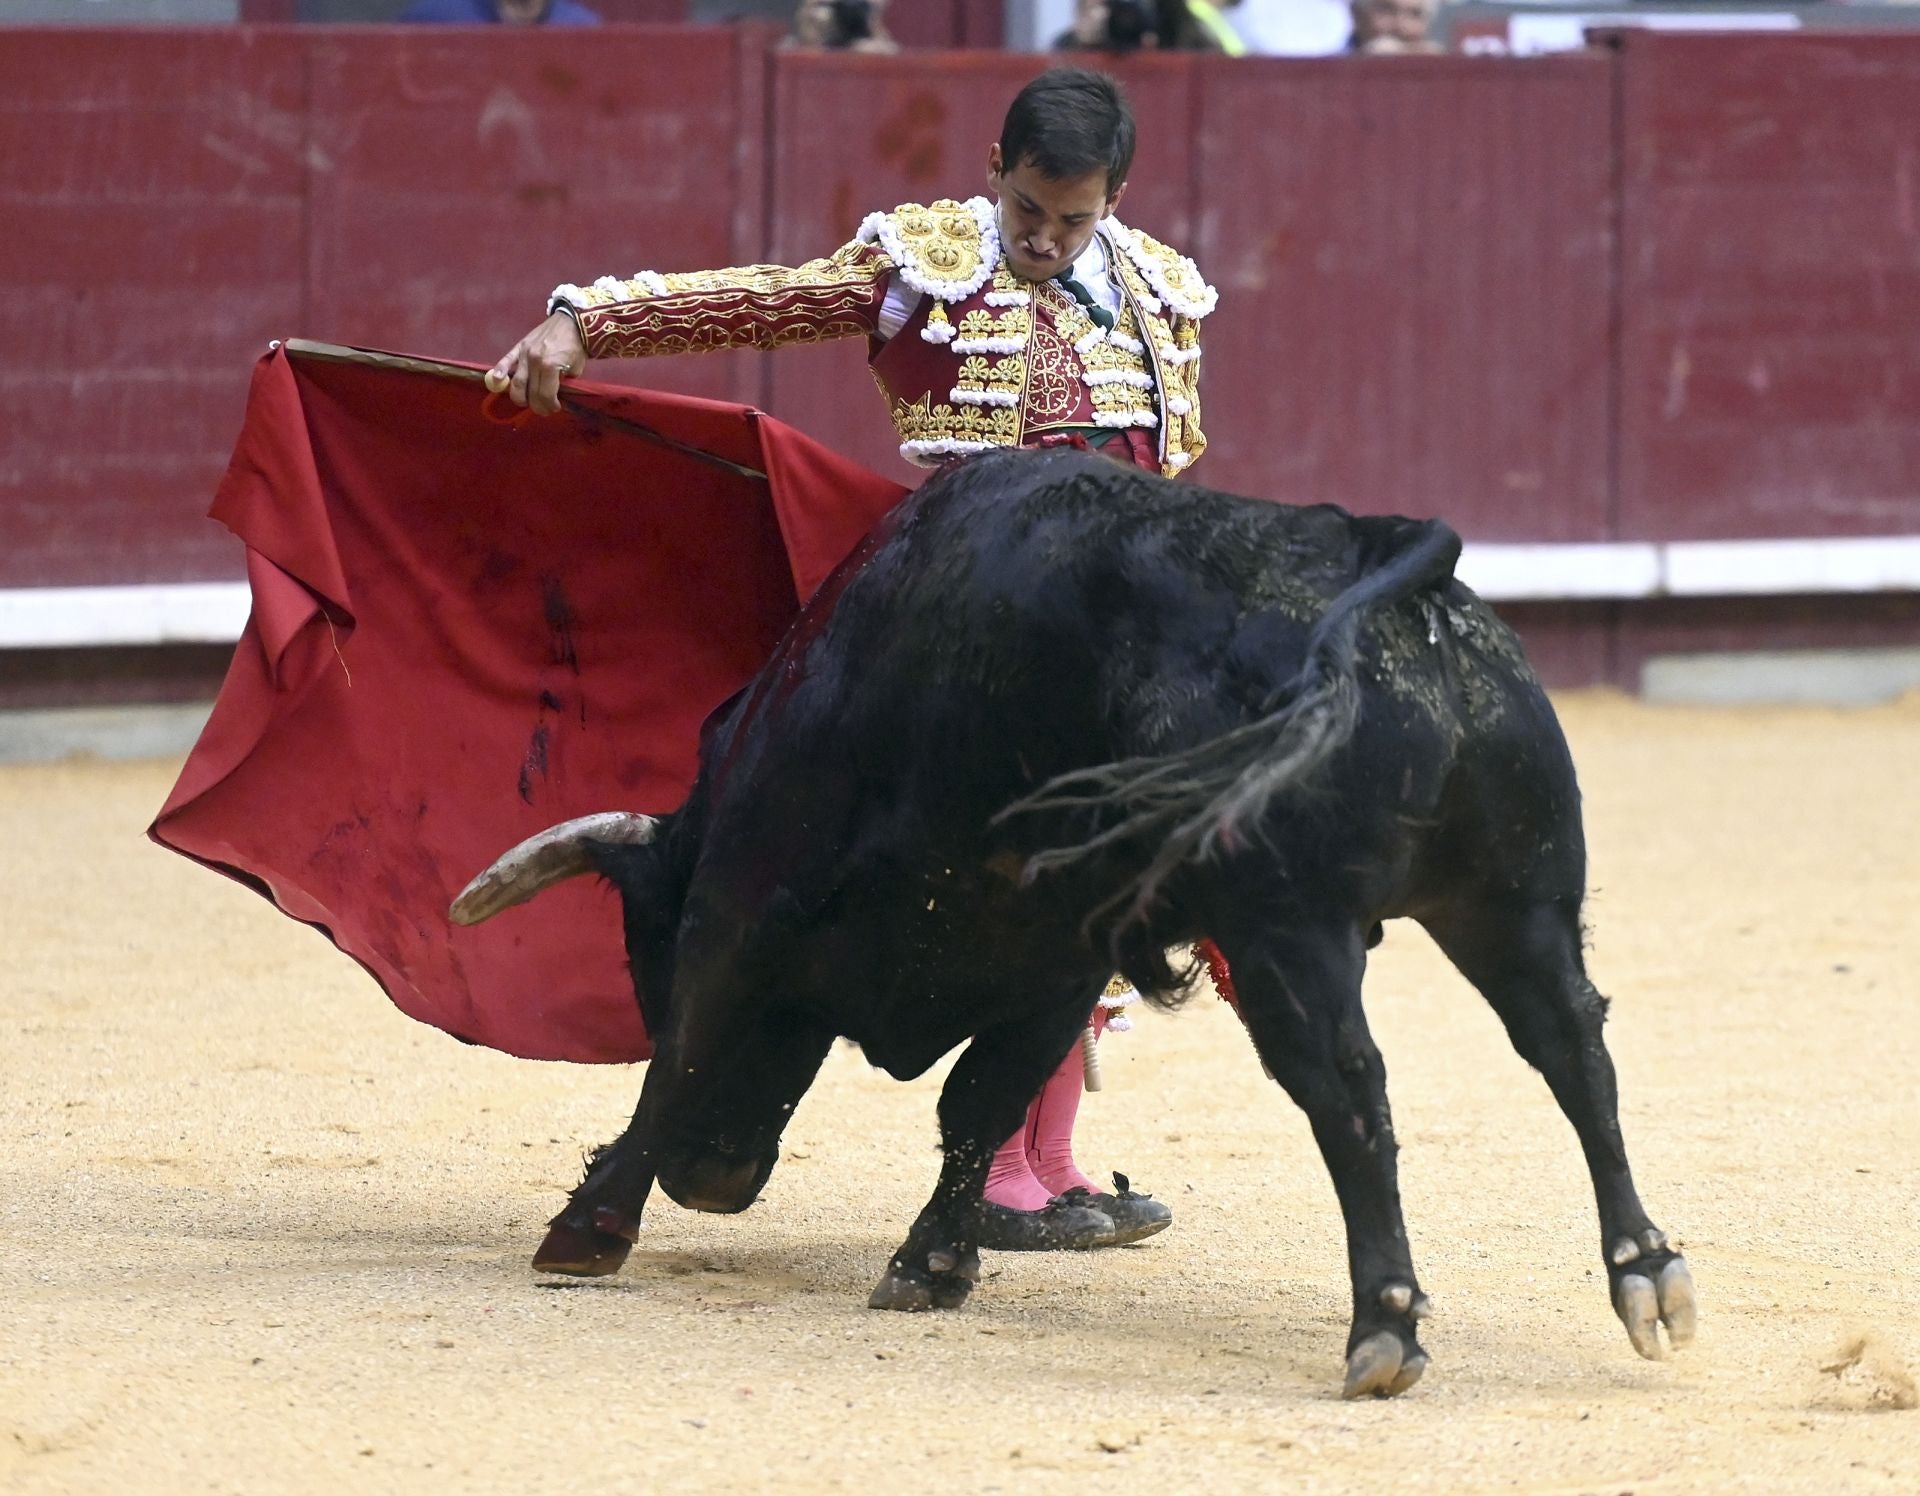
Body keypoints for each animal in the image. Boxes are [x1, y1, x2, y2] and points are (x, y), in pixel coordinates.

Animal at [449, 447, 1697, 1405]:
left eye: (643, 950)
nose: (712, 1176)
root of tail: (1368, 552)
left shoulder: (742, 903)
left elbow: (686, 1052)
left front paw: (587, 1226)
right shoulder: (1055, 956)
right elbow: (979, 1103)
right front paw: (931, 1263)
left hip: (1292, 926)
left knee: (1351, 1086)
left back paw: (1384, 1327)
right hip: (1516, 897)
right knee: (1573, 1046)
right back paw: (1649, 1271)